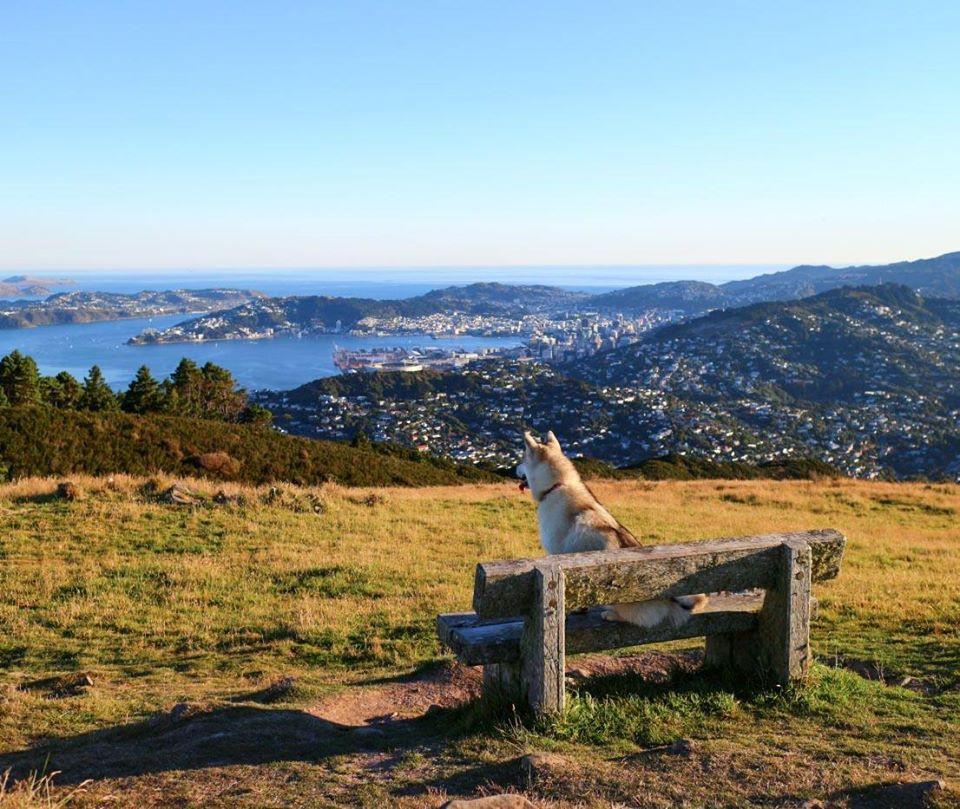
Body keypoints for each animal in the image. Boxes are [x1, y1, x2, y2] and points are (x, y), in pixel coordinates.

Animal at [512, 432, 708, 628]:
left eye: (522, 459)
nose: (514, 469)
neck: (557, 485)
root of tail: (670, 601)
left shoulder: (557, 554)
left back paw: (611, 614)